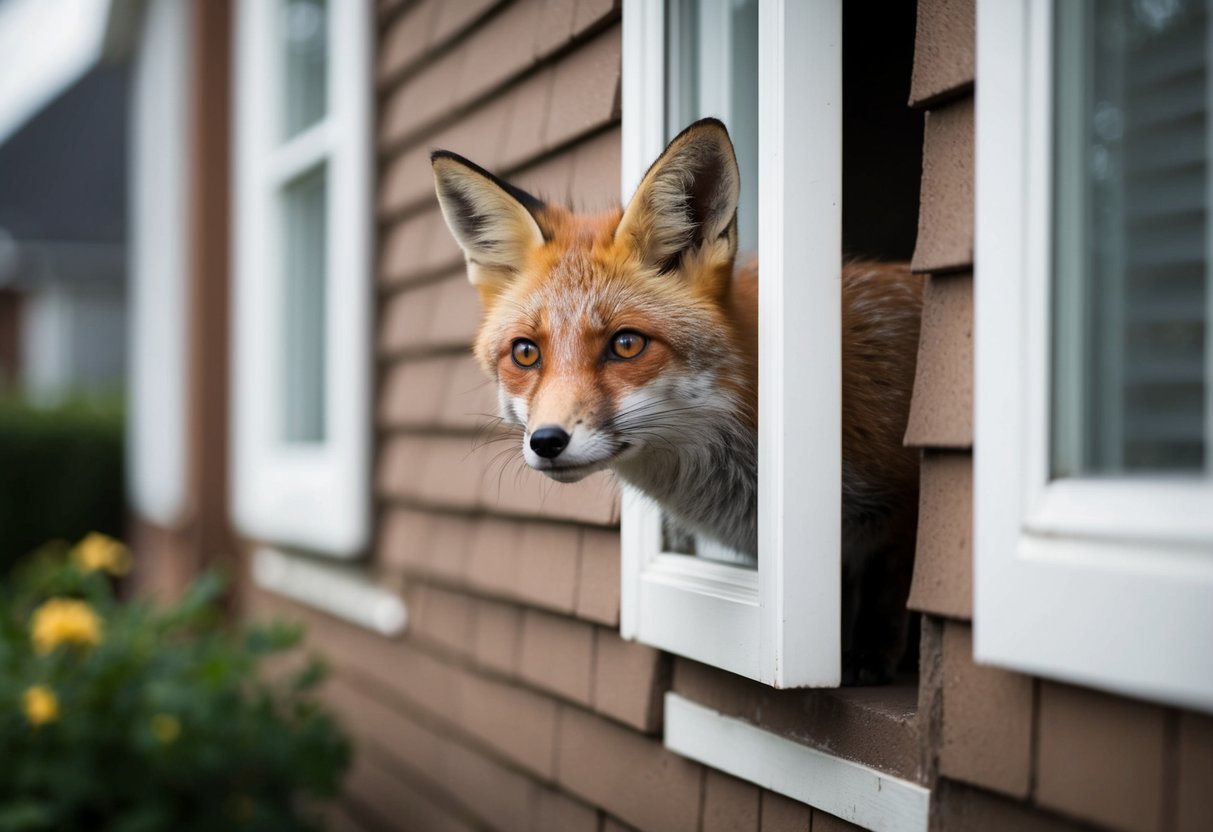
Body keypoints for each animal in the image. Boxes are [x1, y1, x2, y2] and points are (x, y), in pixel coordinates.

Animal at [432, 118, 922, 684]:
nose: (547, 441)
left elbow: (888, 585)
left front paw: (870, 655)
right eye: (526, 353)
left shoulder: (902, 501)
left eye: (626, 344)